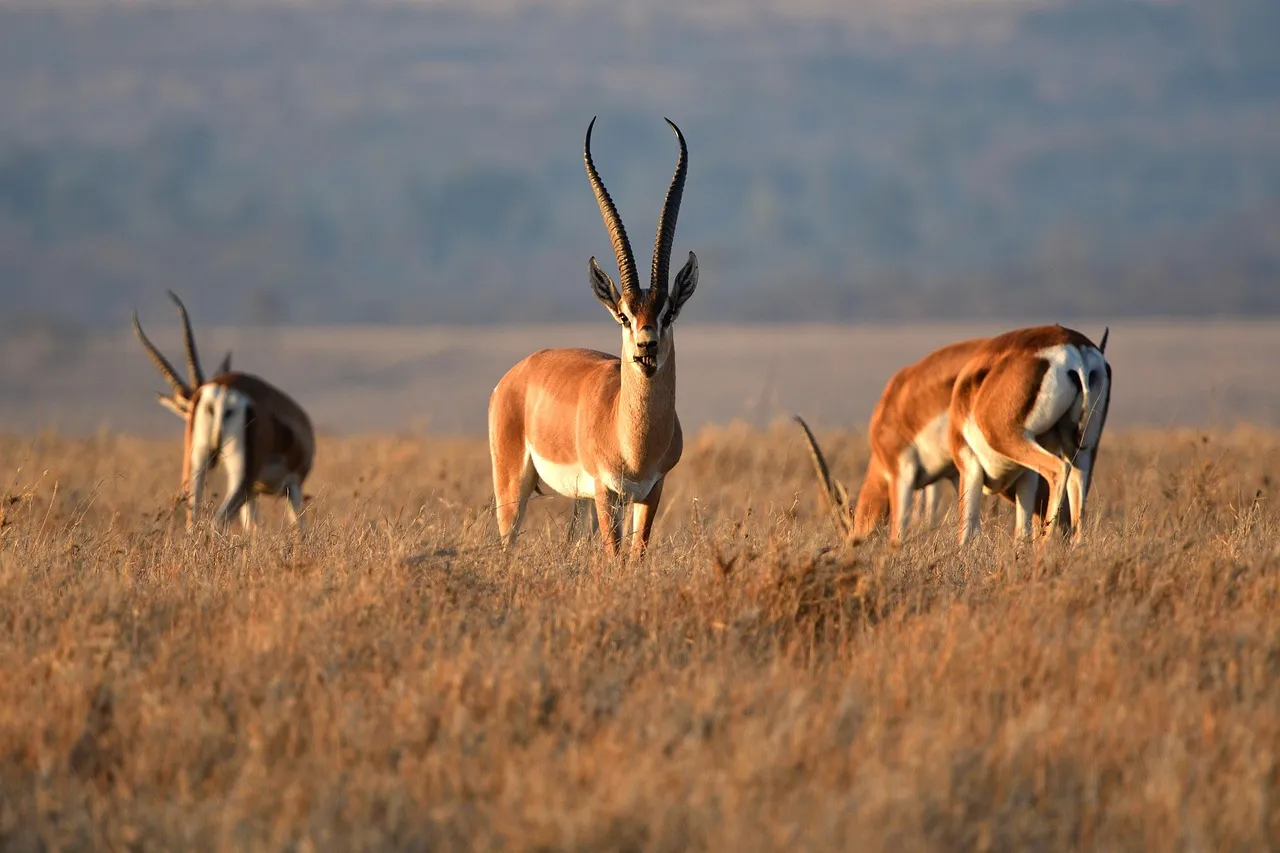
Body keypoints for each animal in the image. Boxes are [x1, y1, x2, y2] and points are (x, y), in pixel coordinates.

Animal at [133, 291, 315, 533]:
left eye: (186, 409)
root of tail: (221, 391)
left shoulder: (257, 492)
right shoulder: (292, 486)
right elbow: (297, 531)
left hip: (196, 464)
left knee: (193, 518)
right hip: (241, 478)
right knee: (217, 521)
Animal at [488, 117, 698, 559]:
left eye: (668, 313)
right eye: (624, 315)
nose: (647, 348)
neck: (632, 440)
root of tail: (516, 374)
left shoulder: (650, 492)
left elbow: (636, 557)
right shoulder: (606, 493)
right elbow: (615, 558)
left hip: (580, 502)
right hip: (513, 487)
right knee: (507, 542)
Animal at [949, 324, 1111, 545]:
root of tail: (1075, 346)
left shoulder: (969, 465)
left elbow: (967, 534)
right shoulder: (1027, 475)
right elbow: (1022, 530)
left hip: (1010, 439)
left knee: (1059, 469)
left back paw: (1045, 543)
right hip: (1082, 448)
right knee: (1078, 492)